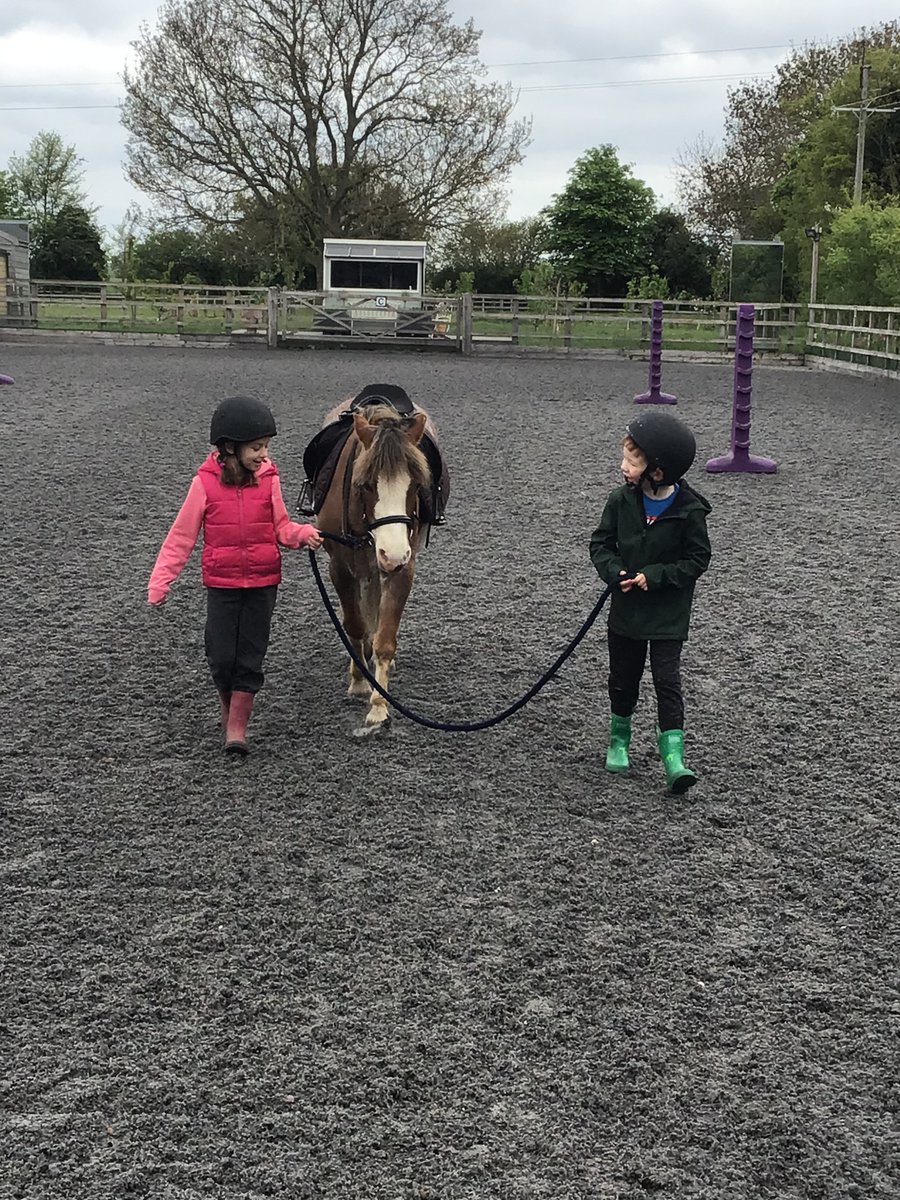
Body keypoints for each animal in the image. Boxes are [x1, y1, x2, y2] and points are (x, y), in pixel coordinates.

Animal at [316, 403, 434, 724]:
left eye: (415, 484)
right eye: (365, 485)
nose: (392, 553)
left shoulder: (403, 567)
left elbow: (385, 639)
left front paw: (380, 703)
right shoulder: (340, 569)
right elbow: (355, 626)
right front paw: (359, 681)